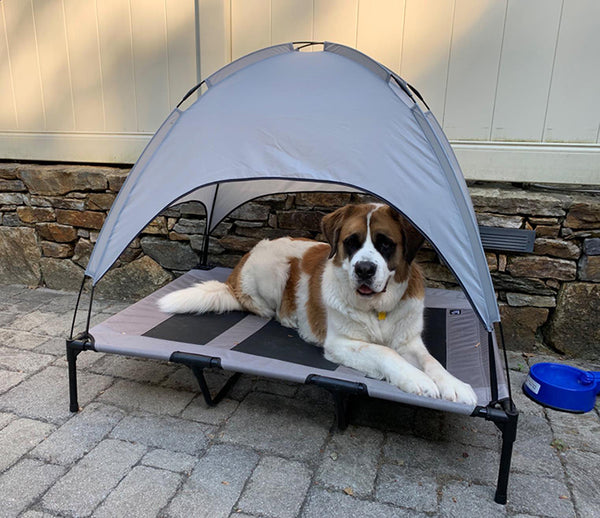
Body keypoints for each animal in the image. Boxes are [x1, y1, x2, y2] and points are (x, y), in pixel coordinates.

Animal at [159, 203, 478, 406]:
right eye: (351, 242)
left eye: (385, 244)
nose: (364, 269)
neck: (377, 308)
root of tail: (236, 270)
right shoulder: (341, 344)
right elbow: (386, 353)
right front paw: (417, 380)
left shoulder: (409, 340)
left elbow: (431, 361)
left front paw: (453, 384)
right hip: (275, 270)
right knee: (264, 308)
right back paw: (290, 318)